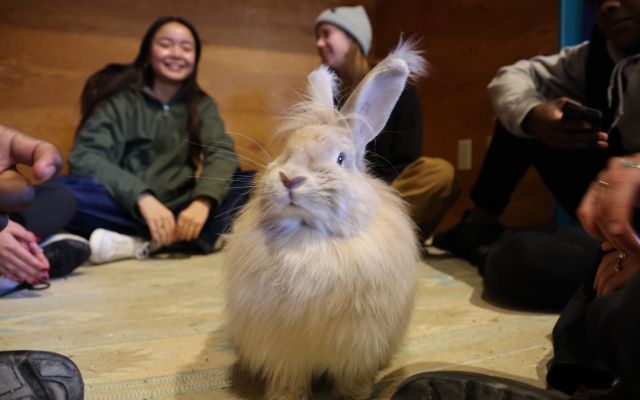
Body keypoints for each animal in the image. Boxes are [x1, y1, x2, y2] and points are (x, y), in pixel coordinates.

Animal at [224, 39, 427, 400]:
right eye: (285, 151)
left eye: (341, 159)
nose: (290, 179)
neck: (309, 238)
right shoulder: (286, 354)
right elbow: (289, 379)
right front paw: (286, 397)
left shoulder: (357, 349)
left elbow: (352, 377)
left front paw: (355, 395)